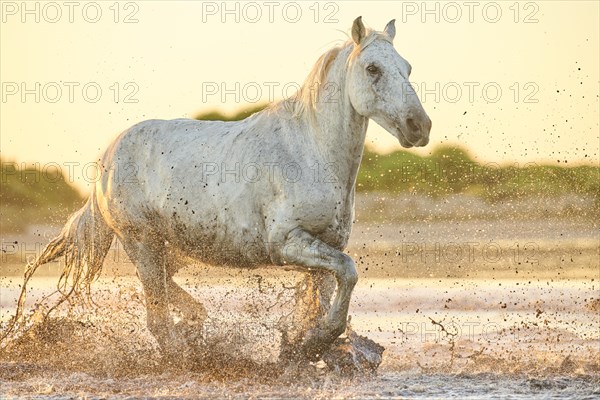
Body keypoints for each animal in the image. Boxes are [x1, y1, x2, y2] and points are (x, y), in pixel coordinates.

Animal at [9, 15, 432, 360]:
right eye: (373, 68)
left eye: (408, 67)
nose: (420, 127)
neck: (310, 150)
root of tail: (106, 159)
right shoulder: (288, 244)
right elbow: (348, 273)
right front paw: (313, 345)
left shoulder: (325, 246)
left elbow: (331, 292)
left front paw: (303, 347)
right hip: (141, 241)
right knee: (157, 317)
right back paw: (185, 353)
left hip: (174, 246)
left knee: (168, 290)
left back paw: (196, 327)